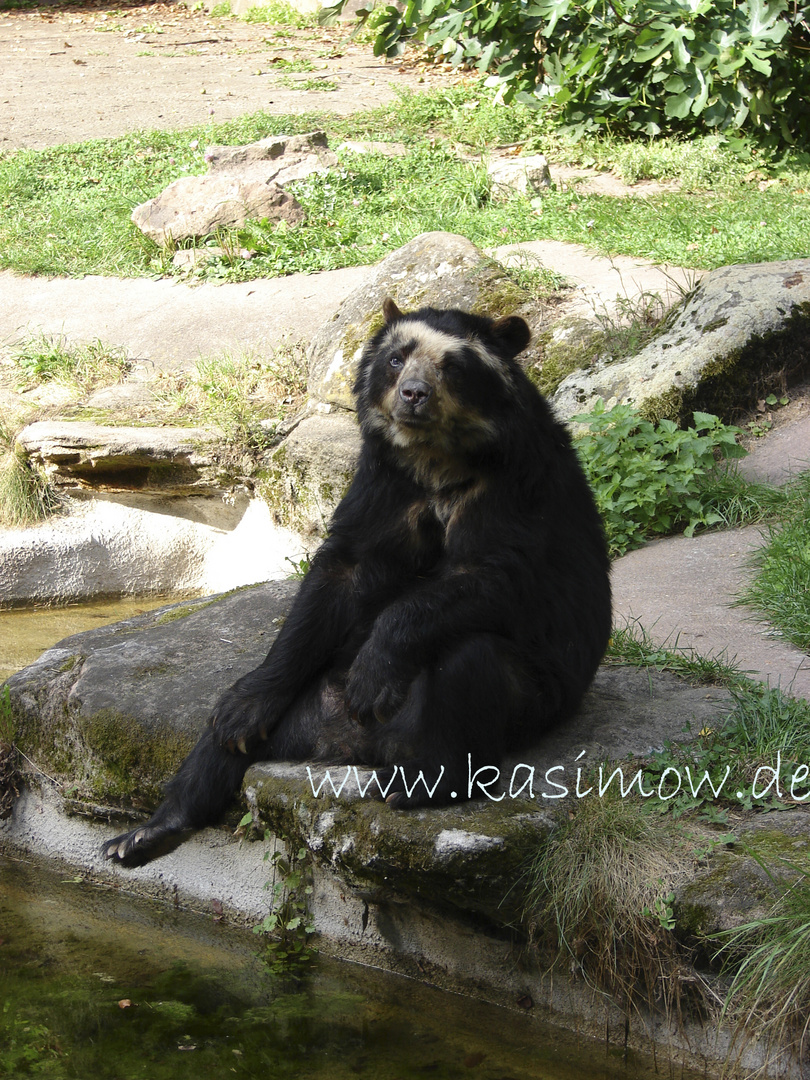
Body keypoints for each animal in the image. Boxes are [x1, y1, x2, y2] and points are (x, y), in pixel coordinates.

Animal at [103, 300, 609, 864]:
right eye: (395, 358)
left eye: (453, 366)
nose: (414, 394)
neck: (435, 460)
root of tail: (357, 747)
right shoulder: (382, 482)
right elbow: (339, 573)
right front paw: (245, 706)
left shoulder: (513, 485)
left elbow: (492, 572)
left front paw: (372, 675)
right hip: (308, 706)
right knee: (217, 742)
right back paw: (147, 829)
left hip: (537, 698)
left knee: (472, 662)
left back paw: (420, 785)